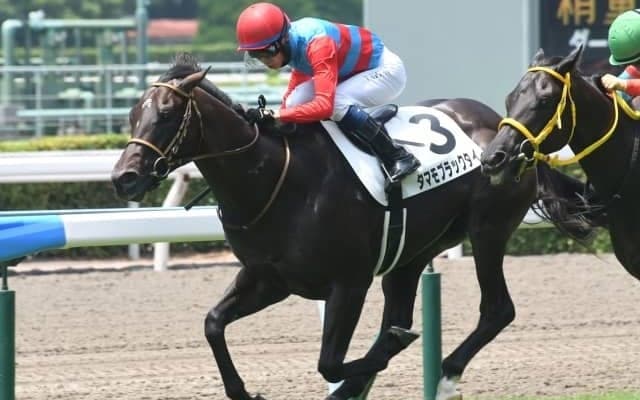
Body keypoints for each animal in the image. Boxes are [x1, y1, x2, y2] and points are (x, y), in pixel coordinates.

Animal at [111, 54, 594, 400]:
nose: (124, 177)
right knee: (402, 312)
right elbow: (213, 323)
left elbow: (329, 361)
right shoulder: (268, 278)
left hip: (488, 229)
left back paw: (442, 374)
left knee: (497, 309)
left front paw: (366, 369)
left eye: (167, 114)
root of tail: (507, 129)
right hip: (413, 251)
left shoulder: (348, 282)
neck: (276, 178)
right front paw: (245, 392)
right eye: (133, 115)